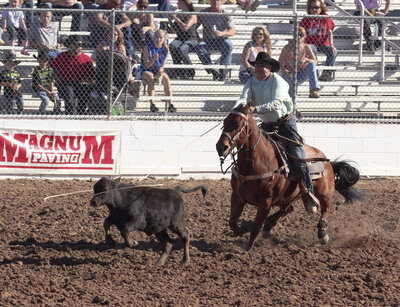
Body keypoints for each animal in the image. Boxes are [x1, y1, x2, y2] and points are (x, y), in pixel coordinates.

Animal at [216, 104, 366, 251]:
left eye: (238, 124)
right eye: (224, 123)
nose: (221, 147)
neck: (258, 161)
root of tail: (327, 160)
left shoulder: (266, 201)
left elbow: (256, 227)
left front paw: (248, 248)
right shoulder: (237, 196)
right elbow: (233, 223)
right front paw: (243, 229)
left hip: (324, 193)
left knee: (325, 208)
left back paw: (322, 233)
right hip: (289, 196)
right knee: (288, 209)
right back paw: (269, 224)